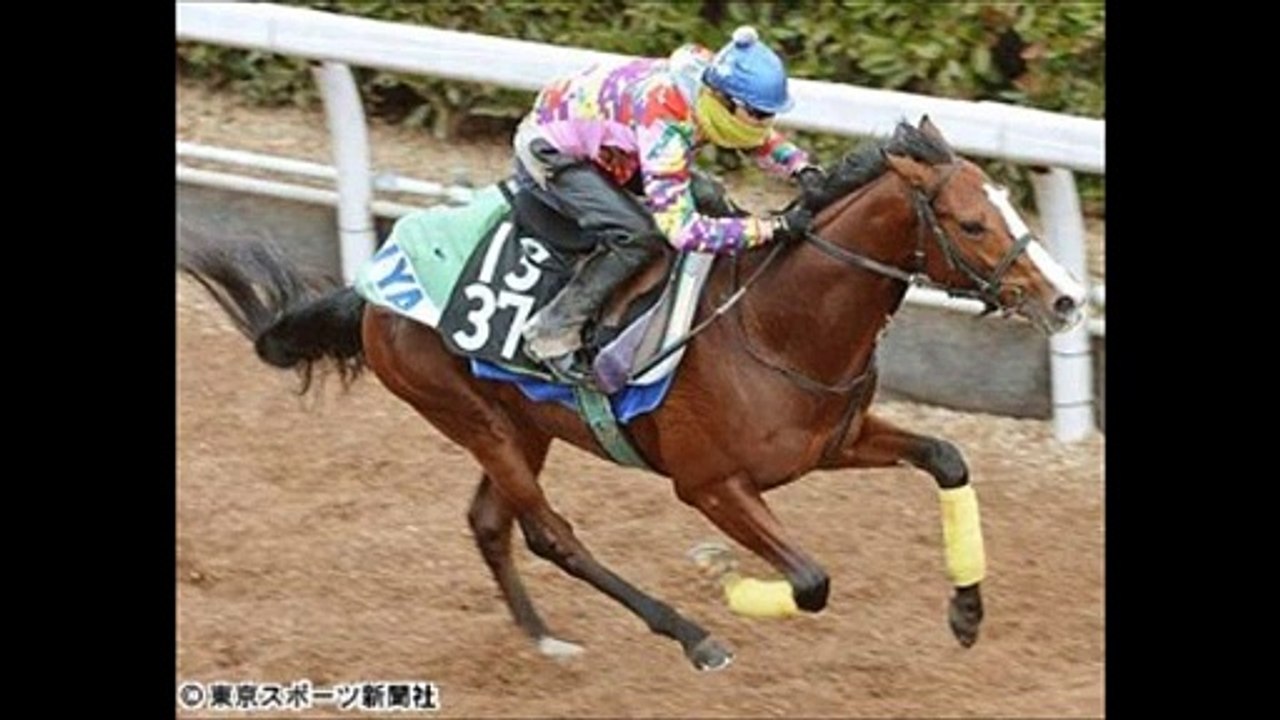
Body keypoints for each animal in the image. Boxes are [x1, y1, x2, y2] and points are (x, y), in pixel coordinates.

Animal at [179, 116, 1087, 671]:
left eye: (1010, 205)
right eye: (972, 223)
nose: (1068, 300)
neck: (776, 323)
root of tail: (371, 286)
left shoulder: (834, 441)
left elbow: (949, 457)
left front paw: (967, 616)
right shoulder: (710, 484)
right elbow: (811, 581)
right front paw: (729, 586)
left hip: (518, 420)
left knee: (489, 523)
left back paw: (544, 639)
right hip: (467, 415)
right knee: (551, 534)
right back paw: (691, 637)